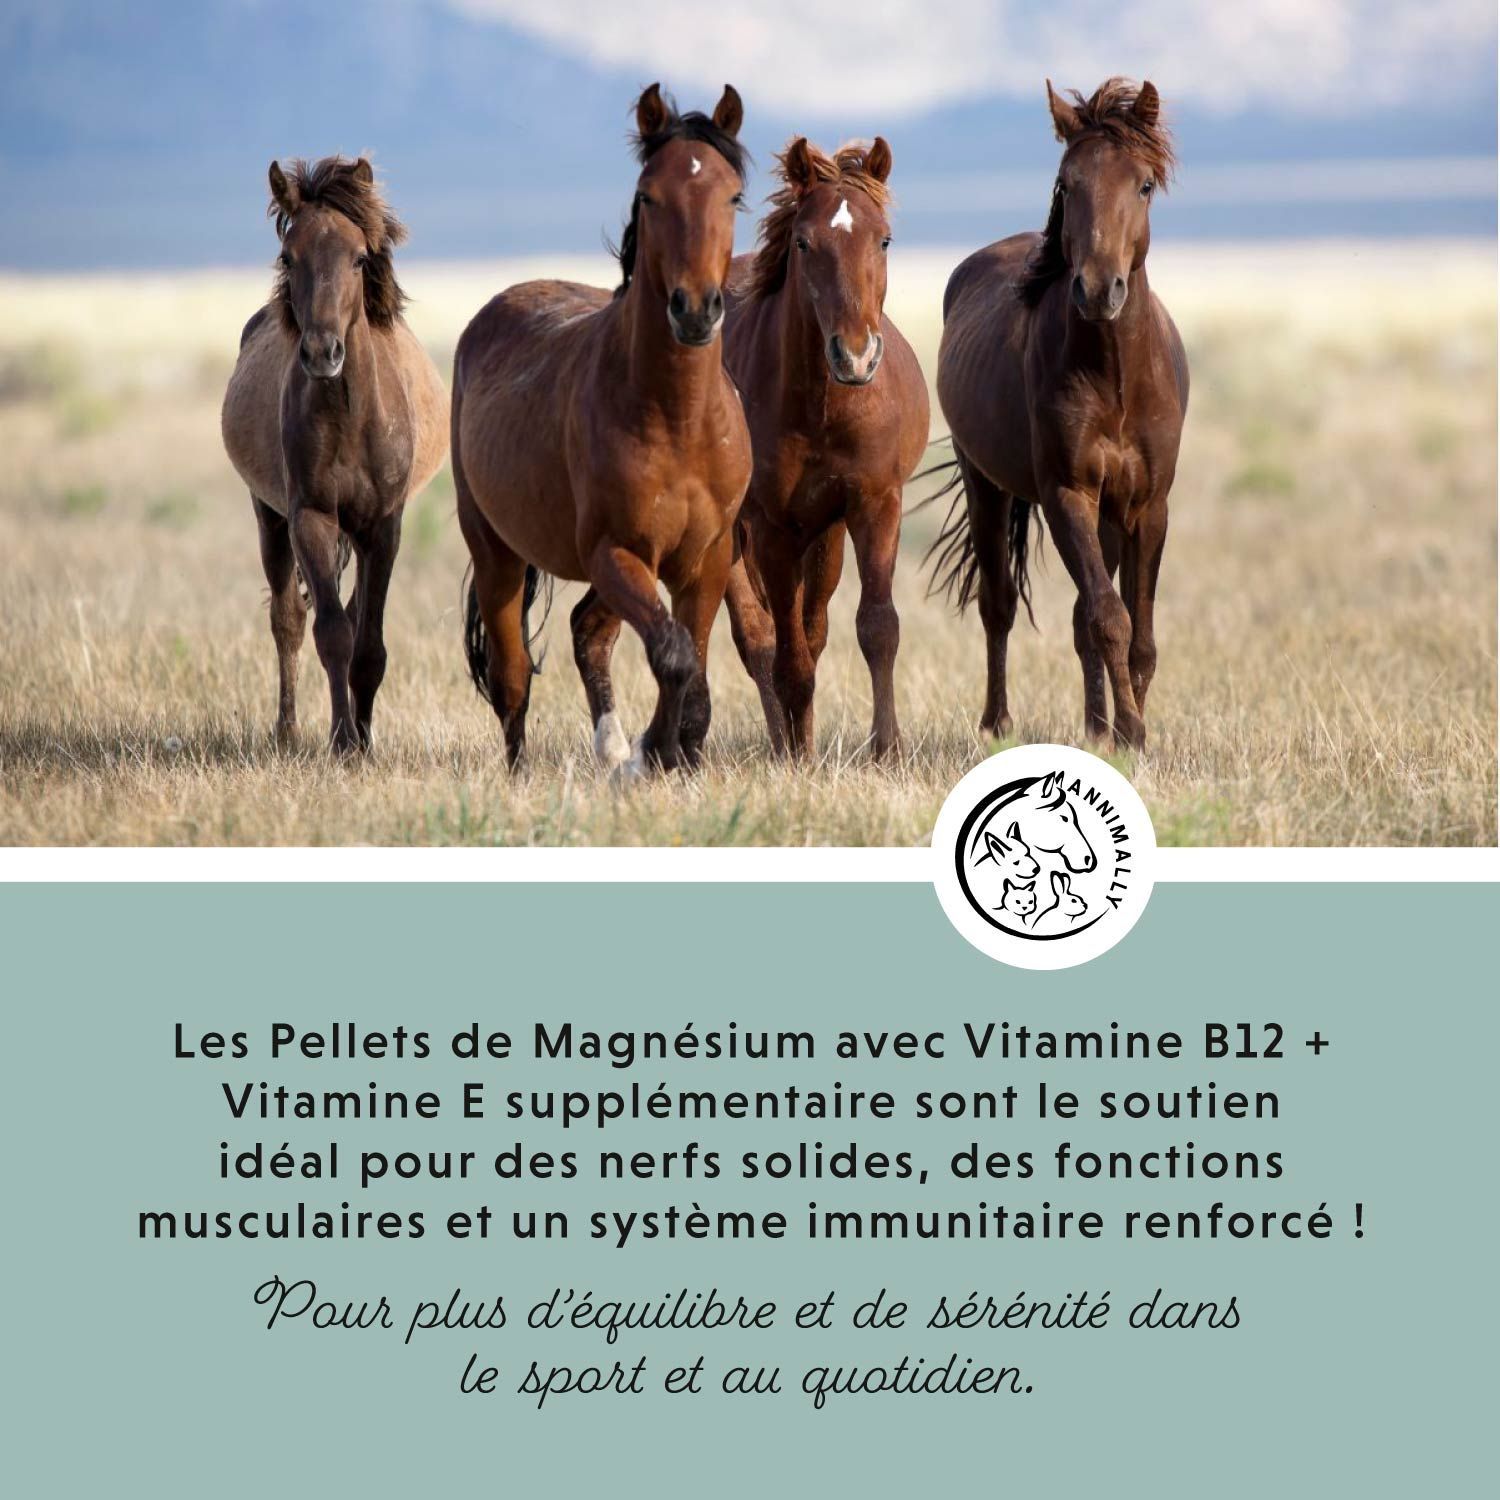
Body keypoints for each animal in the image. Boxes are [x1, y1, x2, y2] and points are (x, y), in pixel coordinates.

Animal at [221, 156, 447, 753]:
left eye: (360, 257)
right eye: (288, 256)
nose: (323, 352)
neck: (349, 416)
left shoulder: (382, 528)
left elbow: (368, 642)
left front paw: (362, 739)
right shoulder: (312, 518)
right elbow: (331, 634)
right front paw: (344, 741)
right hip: (269, 517)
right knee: (288, 619)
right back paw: (288, 731)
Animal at [452, 84, 753, 772]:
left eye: (732, 195)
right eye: (649, 195)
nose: (695, 311)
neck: (677, 420)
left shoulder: (707, 558)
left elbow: (691, 664)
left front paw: (671, 753)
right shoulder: (617, 552)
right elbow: (673, 654)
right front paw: (655, 752)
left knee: (589, 632)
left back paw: (613, 751)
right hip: (496, 554)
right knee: (513, 676)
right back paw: (529, 771)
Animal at [722, 137, 929, 760]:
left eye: (883, 238)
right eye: (803, 242)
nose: (855, 356)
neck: (822, 408)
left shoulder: (873, 505)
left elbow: (877, 627)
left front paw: (887, 748)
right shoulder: (770, 528)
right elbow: (785, 655)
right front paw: (795, 759)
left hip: (825, 535)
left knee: (811, 631)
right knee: (761, 639)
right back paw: (785, 745)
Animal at [928, 78, 1188, 750]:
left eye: (1143, 184)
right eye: (1066, 184)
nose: (1098, 290)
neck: (1115, 377)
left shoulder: (1146, 506)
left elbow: (1138, 634)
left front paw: (1126, 728)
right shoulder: (1068, 494)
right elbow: (1110, 618)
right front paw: (1132, 733)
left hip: (1107, 514)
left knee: (1076, 617)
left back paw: (1094, 727)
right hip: (985, 484)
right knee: (998, 605)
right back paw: (998, 722)